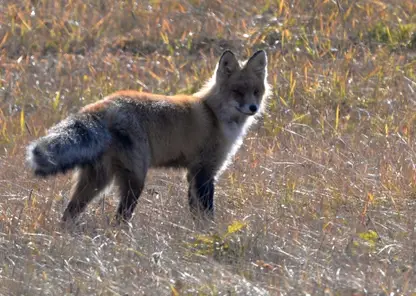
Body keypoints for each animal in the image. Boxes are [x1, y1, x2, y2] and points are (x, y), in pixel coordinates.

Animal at [27, 49, 272, 223]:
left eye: (256, 92)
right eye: (237, 92)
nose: (253, 108)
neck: (212, 113)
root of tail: (104, 103)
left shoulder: (193, 172)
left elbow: (194, 211)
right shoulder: (205, 170)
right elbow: (207, 211)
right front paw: (209, 231)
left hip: (97, 180)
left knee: (69, 213)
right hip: (135, 180)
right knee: (119, 219)